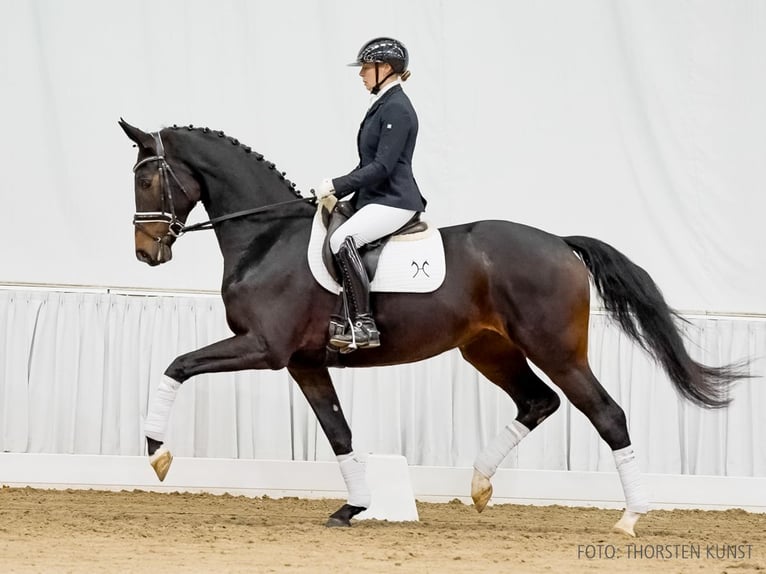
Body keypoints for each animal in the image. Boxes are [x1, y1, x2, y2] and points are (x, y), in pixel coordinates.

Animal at [120, 119, 752, 536]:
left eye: (147, 181)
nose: (147, 253)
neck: (267, 238)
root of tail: (559, 243)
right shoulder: (305, 363)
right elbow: (340, 432)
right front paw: (354, 507)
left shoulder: (265, 348)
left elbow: (177, 365)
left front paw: (156, 453)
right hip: (489, 350)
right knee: (537, 402)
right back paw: (478, 484)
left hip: (557, 350)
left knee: (606, 413)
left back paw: (630, 516)